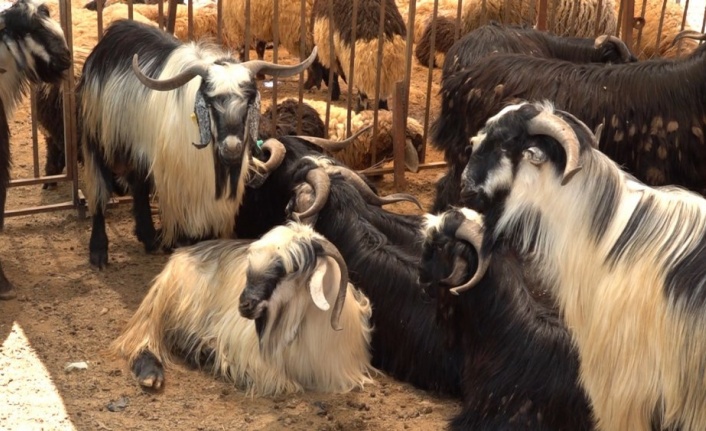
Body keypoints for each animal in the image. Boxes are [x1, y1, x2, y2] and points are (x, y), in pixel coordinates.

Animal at [77, 21, 316, 270]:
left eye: (249, 100)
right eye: (209, 101)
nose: (232, 148)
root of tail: (112, 33)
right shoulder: (182, 186)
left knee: (139, 184)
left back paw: (149, 238)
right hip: (99, 136)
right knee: (100, 190)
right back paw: (99, 251)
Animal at [110, 221, 374, 396]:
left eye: (288, 270)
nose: (244, 305)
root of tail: (183, 252)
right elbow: (285, 384)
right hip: (171, 302)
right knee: (146, 338)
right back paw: (152, 374)